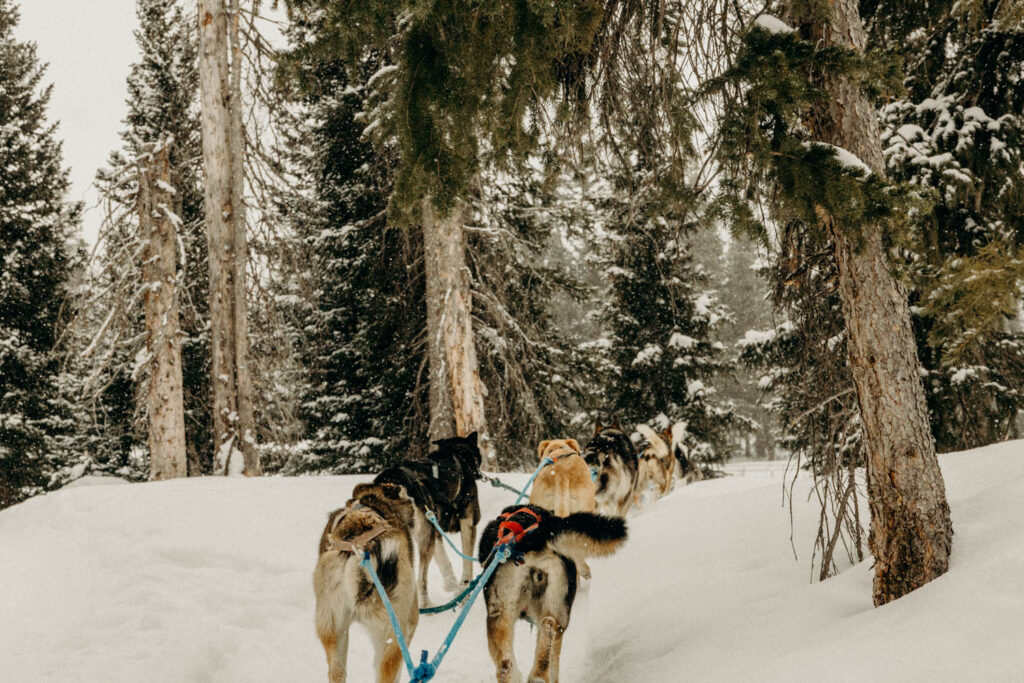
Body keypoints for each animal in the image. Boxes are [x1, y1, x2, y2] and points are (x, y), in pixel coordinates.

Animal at [372, 432, 479, 602]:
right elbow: (466, 562)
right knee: (420, 581)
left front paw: (451, 583)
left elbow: (443, 559)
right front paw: (463, 590)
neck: (456, 454)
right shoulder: (468, 522)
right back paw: (426, 604)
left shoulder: (435, 529)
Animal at [481, 501, 630, 683]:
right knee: (545, 630)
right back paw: (537, 676)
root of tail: (537, 534)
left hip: (505, 616)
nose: (586, 572)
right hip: (552, 615)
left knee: (511, 662)